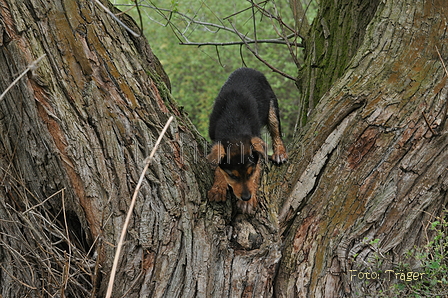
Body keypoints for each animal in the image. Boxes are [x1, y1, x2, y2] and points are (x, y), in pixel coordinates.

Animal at [206, 67, 288, 213]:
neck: (234, 125)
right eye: (232, 176)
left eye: (251, 172)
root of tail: (248, 68)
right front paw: (218, 188)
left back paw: (280, 153)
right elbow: (218, 167)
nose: (246, 197)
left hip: (271, 106)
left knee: (276, 132)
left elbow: (255, 178)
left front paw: (248, 202)